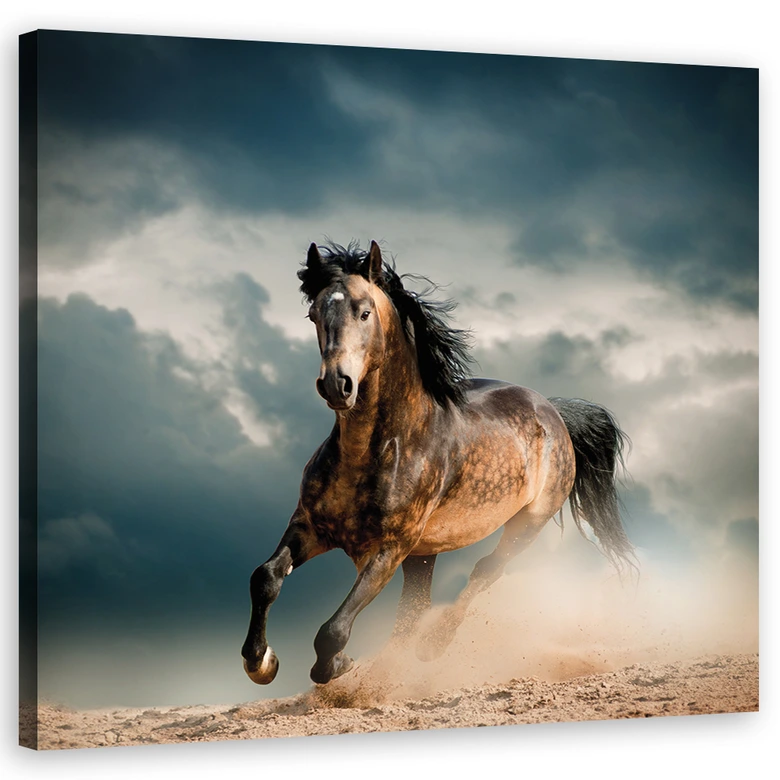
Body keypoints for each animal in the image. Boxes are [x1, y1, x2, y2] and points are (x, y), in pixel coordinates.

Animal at [241, 240, 635, 686]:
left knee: (483, 572)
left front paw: (337, 665)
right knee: (413, 610)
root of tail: (553, 411)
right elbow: (265, 578)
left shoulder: (389, 549)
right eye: (313, 314)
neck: (374, 452)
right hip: (424, 553)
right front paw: (261, 661)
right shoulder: (310, 526)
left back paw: (433, 646)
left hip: (525, 525)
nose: (336, 385)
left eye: (364, 312)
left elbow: (333, 630)